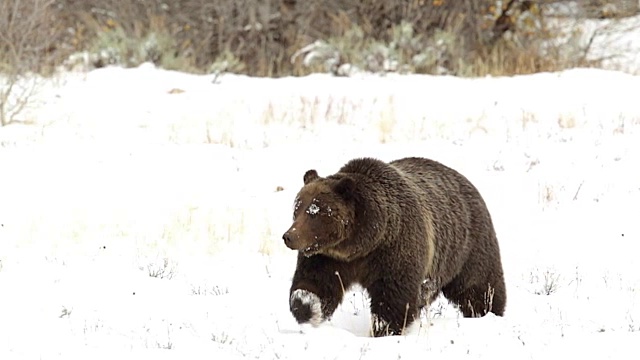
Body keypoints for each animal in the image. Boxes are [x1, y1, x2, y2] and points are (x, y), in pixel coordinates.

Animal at [282, 156, 508, 336]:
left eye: (315, 211)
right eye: (297, 208)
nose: (289, 236)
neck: (361, 244)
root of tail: (465, 180)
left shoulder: (394, 250)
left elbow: (393, 298)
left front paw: (383, 330)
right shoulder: (328, 258)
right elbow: (315, 285)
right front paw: (305, 308)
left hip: (467, 247)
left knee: (479, 287)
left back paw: (487, 313)